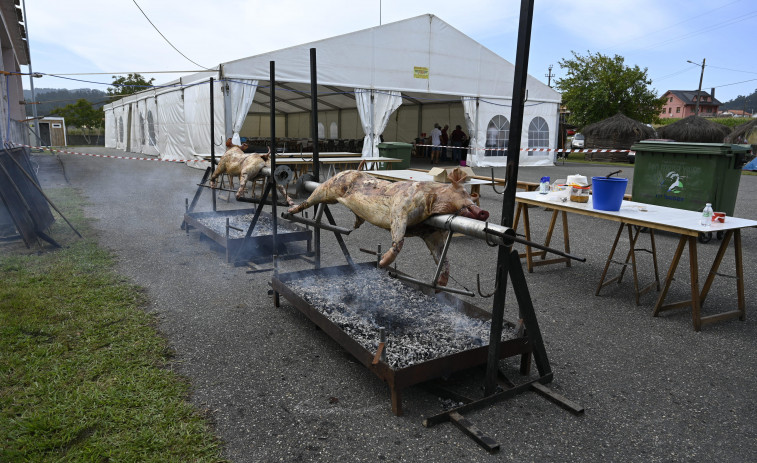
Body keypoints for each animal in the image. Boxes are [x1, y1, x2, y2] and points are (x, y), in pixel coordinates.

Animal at [286, 165, 488, 284]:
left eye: (472, 197)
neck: (433, 207)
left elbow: (443, 258)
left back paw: (354, 226)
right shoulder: (400, 209)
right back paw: (289, 211)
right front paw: (383, 263)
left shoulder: (431, 234)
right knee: (310, 199)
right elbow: (399, 240)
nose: (484, 212)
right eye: (462, 192)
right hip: (329, 188)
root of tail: (346, 170)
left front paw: (441, 284)